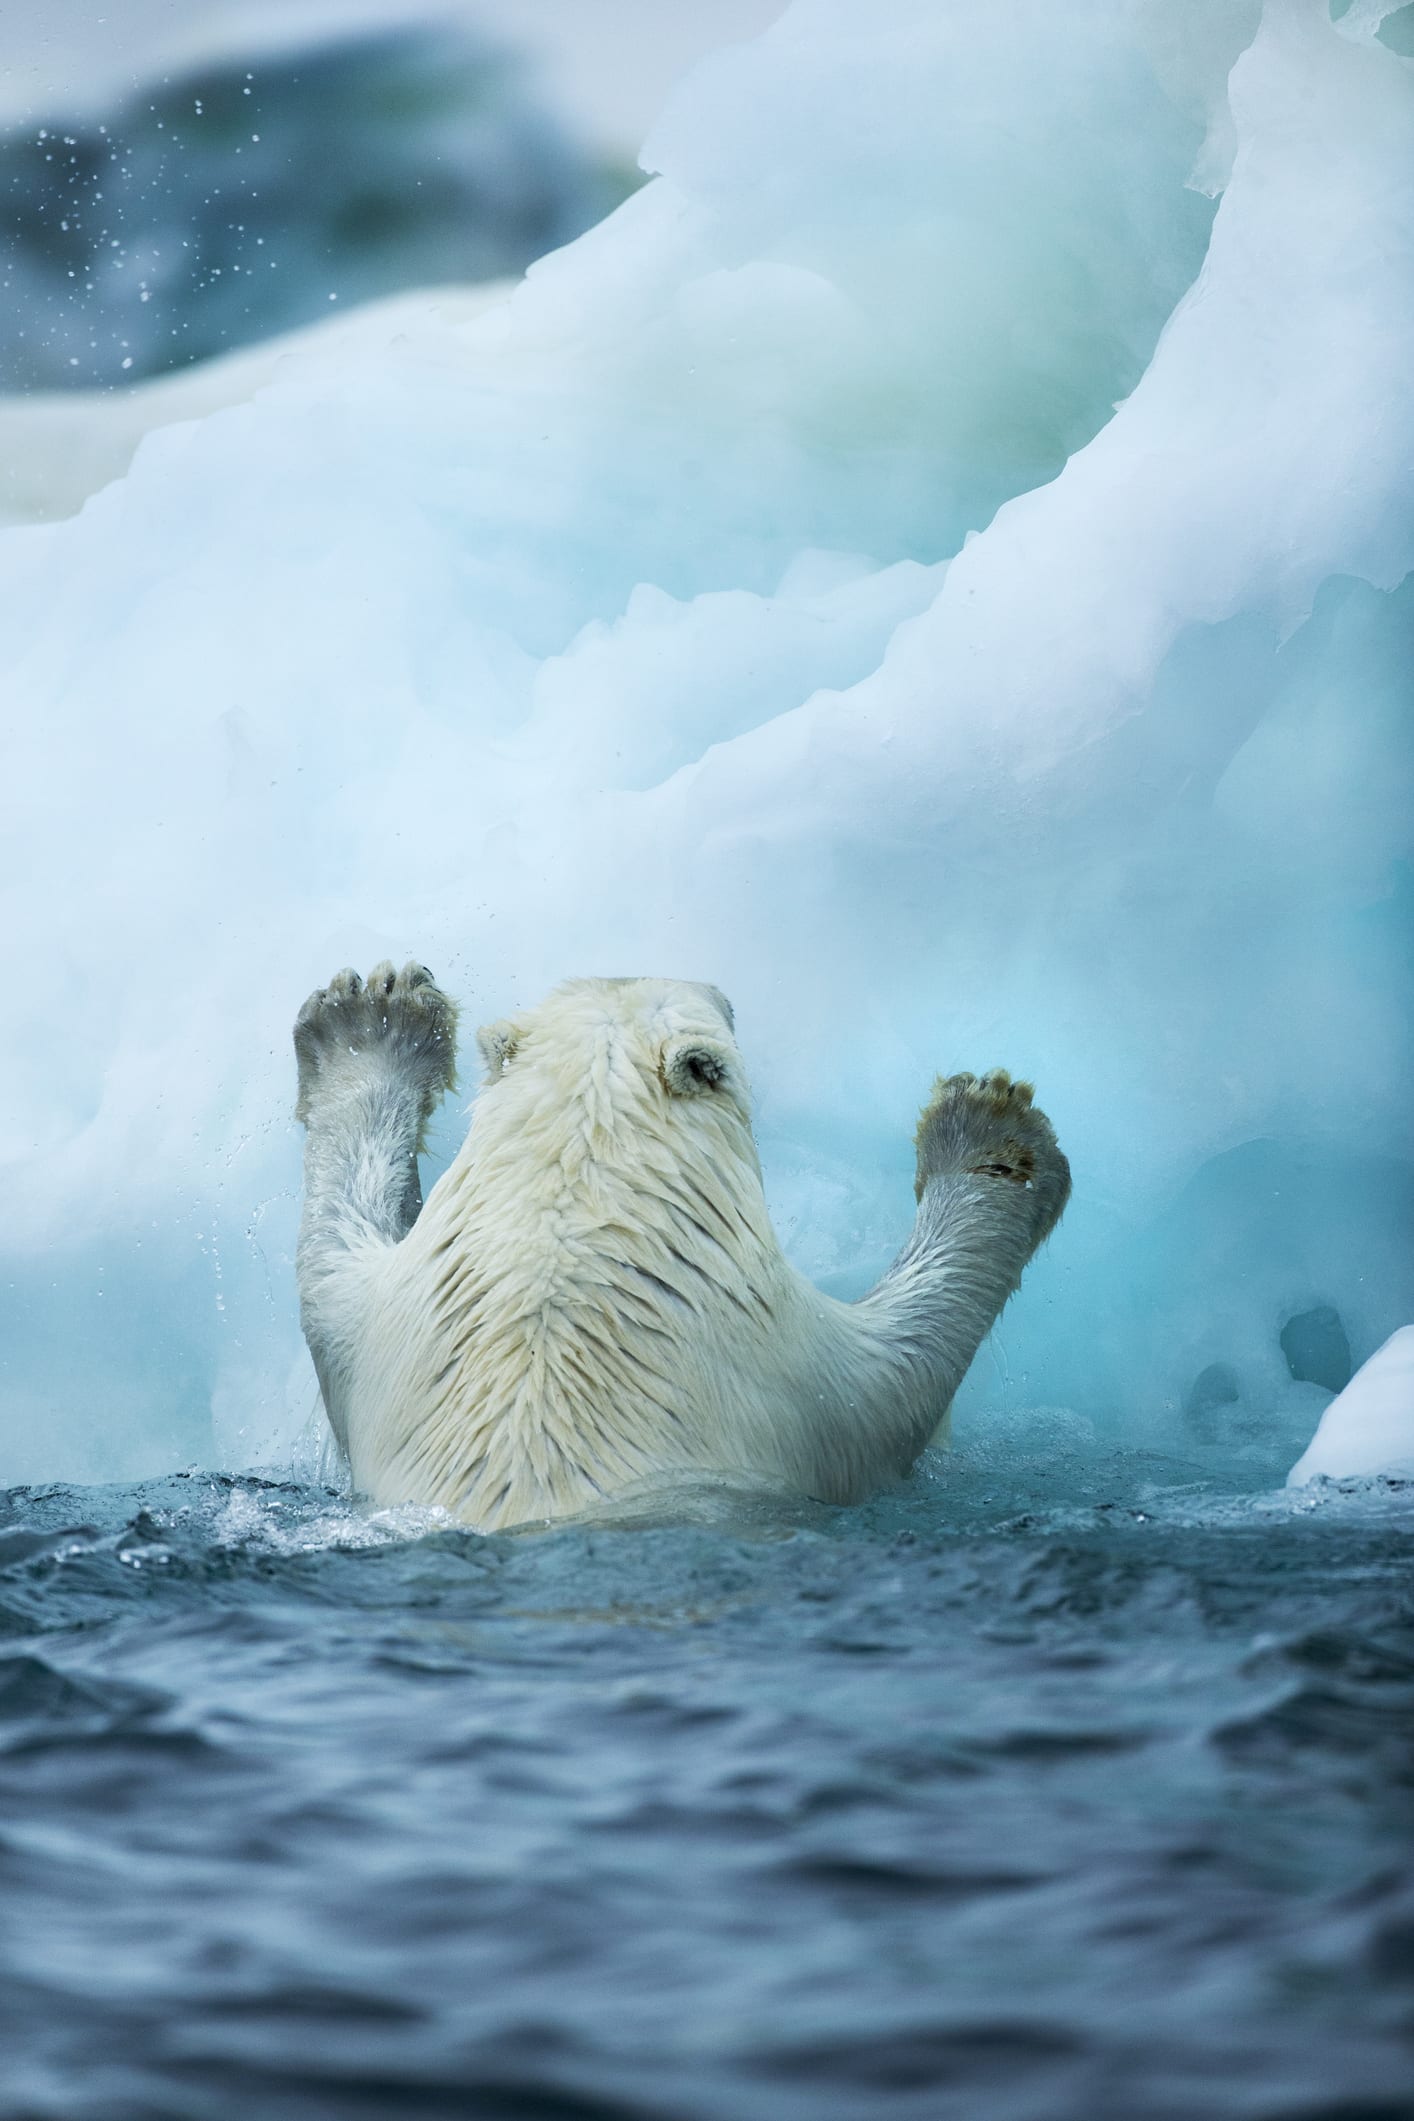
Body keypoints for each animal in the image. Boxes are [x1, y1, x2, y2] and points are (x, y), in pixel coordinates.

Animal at [298, 962, 1072, 1527]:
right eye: (722, 1009)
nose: (725, 986)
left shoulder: (378, 1330)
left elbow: (330, 1250)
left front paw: (371, 1019)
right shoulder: (800, 1383)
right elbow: (909, 1363)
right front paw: (989, 1127)